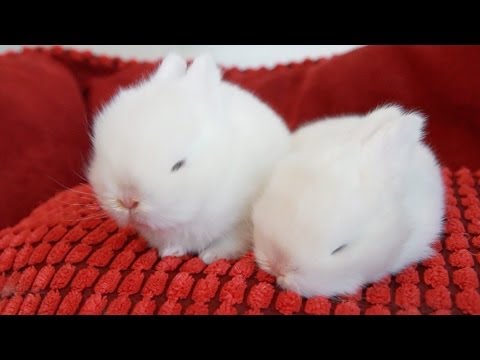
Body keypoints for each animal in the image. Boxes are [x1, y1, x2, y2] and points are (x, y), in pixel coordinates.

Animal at [88, 52, 290, 262]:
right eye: (102, 158)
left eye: (178, 165)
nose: (128, 200)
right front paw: (171, 252)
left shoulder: (238, 225)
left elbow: (228, 242)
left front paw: (209, 256)